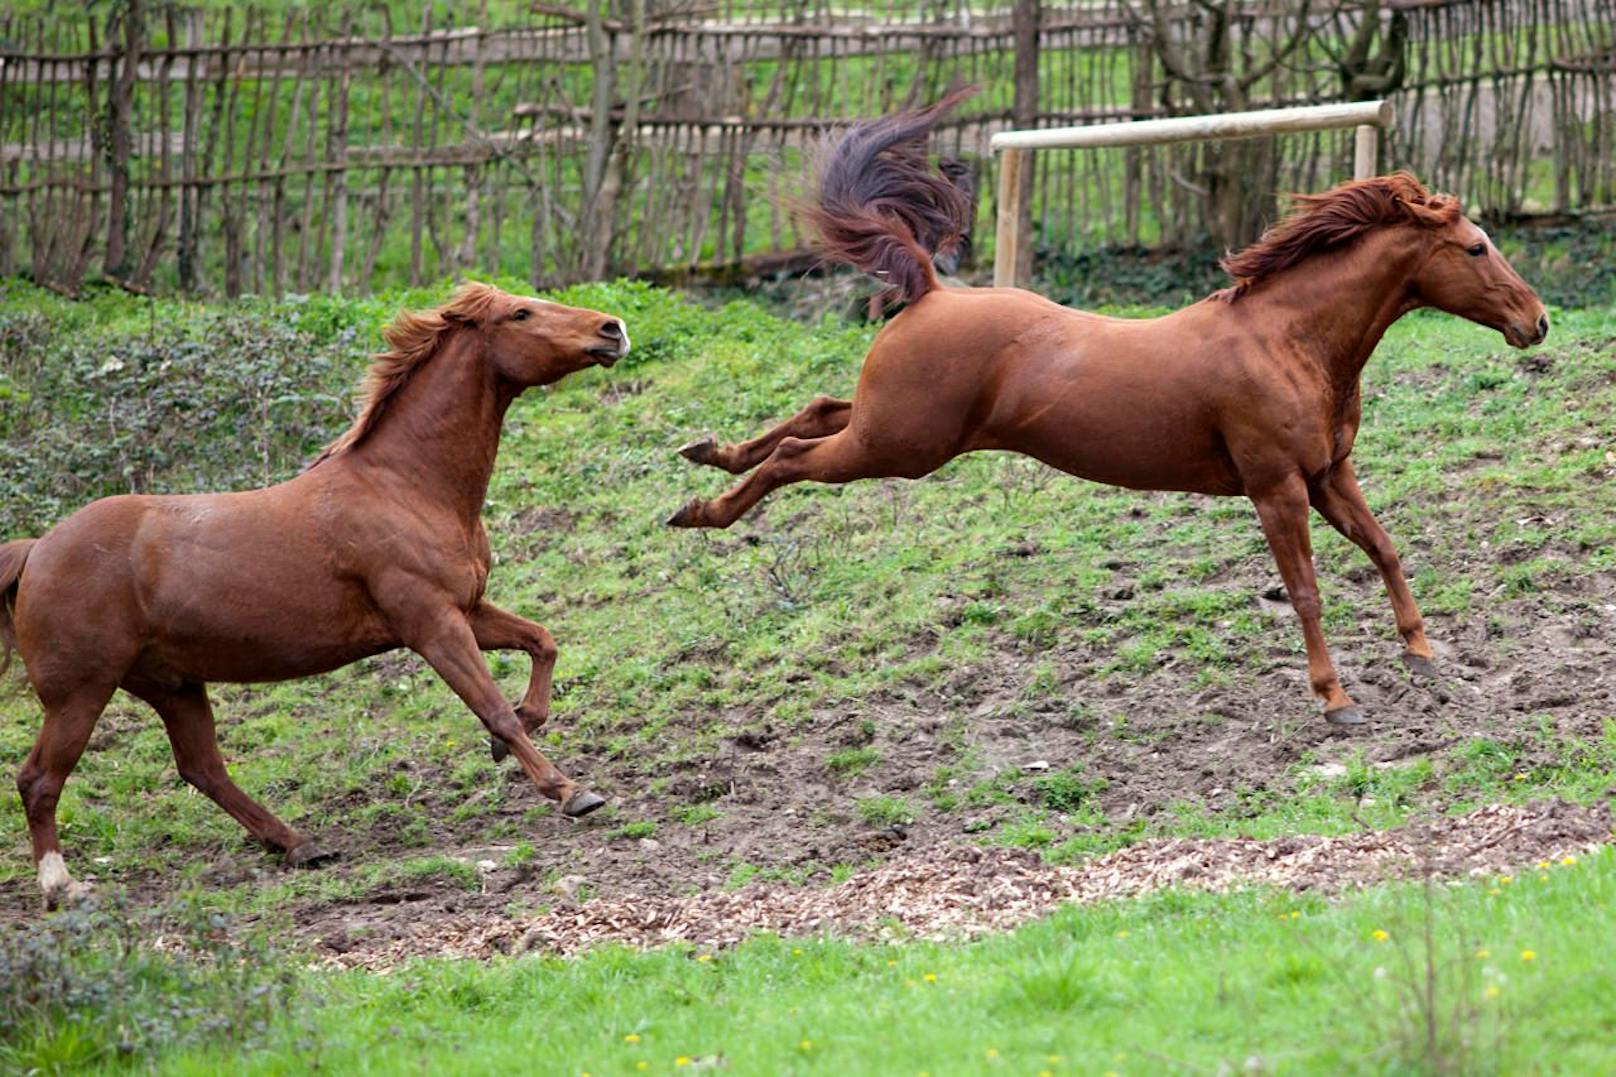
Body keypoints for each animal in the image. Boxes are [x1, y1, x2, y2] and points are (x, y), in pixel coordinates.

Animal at [1, 281, 623, 899]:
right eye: (520, 314)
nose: (612, 329)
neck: (407, 485)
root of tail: (37, 550)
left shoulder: (465, 610)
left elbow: (542, 642)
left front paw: (526, 729)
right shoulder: (431, 623)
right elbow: (492, 707)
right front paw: (570, 790)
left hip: (171, 684)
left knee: (203, 770)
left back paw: (300, 844)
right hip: (81, 691)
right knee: (39, 779)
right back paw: (62, 885)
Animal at [662, 90, 1544, 721]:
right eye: (1476, 247)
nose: (1536, 320)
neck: (1287, 339)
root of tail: (933, 288)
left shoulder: (1331, 475)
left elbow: (1386, 549)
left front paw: (1422, 654)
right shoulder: (1276, 488)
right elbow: (1306, 590)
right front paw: (1335, 699)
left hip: (894, 429)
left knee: (815, 409)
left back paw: (707, 454)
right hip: (897, 447)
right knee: (794, 457)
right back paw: (701, 509)